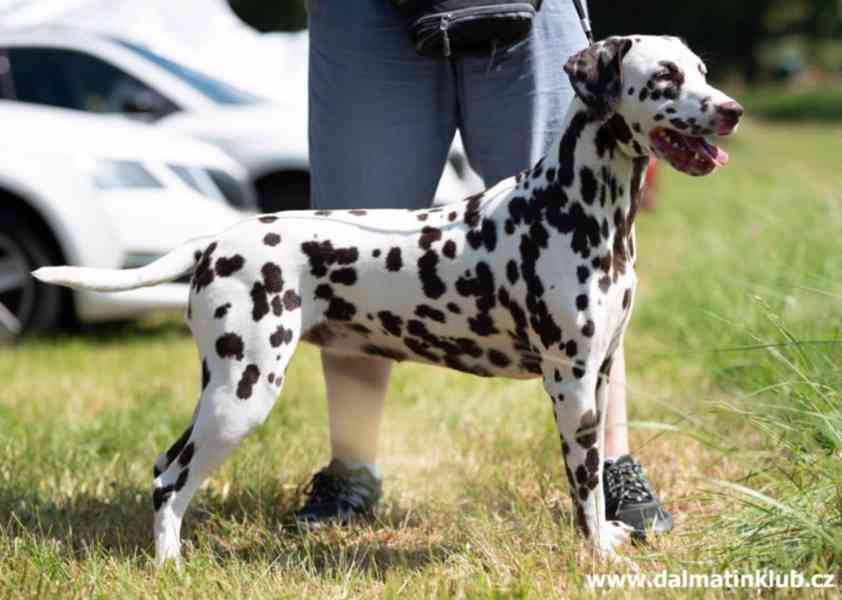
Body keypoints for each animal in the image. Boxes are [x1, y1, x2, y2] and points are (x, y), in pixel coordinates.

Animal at [32, 35, 740, 564]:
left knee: (163, 466)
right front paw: (600, 557)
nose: (731, 109)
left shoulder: (598, 375)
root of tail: (215, 241)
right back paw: (170, 565)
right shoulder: (568, 384)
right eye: (666, 75)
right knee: (170, 480)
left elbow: (587, 488)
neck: (570, 206)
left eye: (703, 70)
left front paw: (606, 537)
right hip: (244, 392)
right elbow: (584, 485)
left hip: (224, 388)